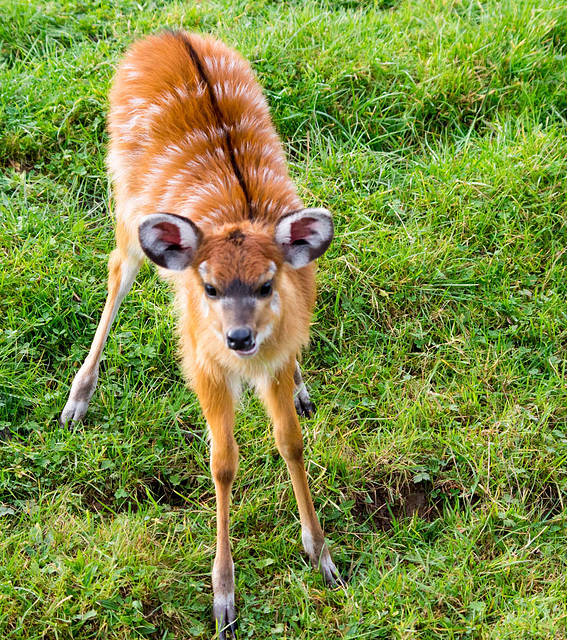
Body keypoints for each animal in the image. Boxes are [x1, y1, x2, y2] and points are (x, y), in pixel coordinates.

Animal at [59, 32, 342, 636]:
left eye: (266, 282)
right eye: (209, 286)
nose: (238, 337)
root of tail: (167, 34)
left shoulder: (274, 359)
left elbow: (291, 442)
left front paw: (323, 557)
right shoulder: (204, 366)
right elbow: (223, 463)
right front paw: (223, 600)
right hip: (126, 198)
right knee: (118, 267)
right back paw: (76, 401)